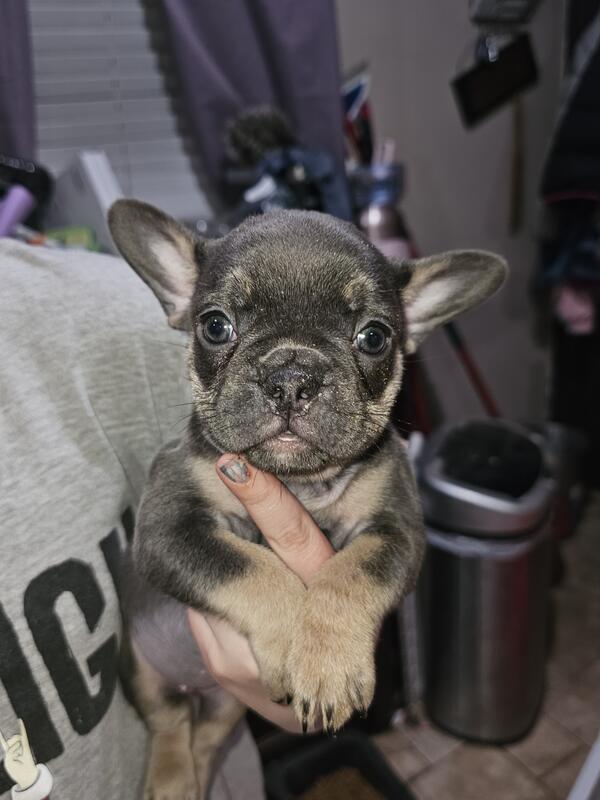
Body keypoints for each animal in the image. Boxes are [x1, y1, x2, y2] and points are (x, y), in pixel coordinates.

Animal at [108, 200, 507, 799]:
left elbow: (348, 576)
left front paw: (328, 665)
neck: (299, 481)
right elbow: (251, 568)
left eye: (374, 337)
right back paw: (171, 779)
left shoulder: (396, 532)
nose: (292, 376)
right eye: (215, 325)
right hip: (138, 666)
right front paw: (287, 643)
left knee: (208, 734)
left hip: (229, 703)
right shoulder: (168, 529)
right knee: (169, 723)